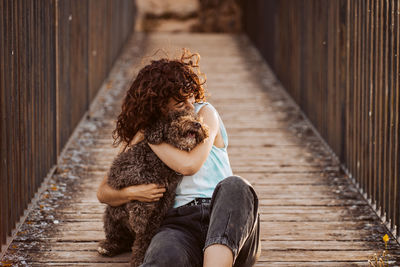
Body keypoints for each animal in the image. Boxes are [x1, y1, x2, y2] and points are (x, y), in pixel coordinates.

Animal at [99, 109, 209, 267]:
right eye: (178, 116)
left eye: (195, 117)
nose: (197, 124)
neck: (161, 162)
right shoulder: (120, 172)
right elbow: (140, 183)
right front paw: (138, 217)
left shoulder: (161, 207)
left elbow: (144, 238)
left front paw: (138, 259)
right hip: (111, 215)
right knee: (117, 238)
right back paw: (108, 246)